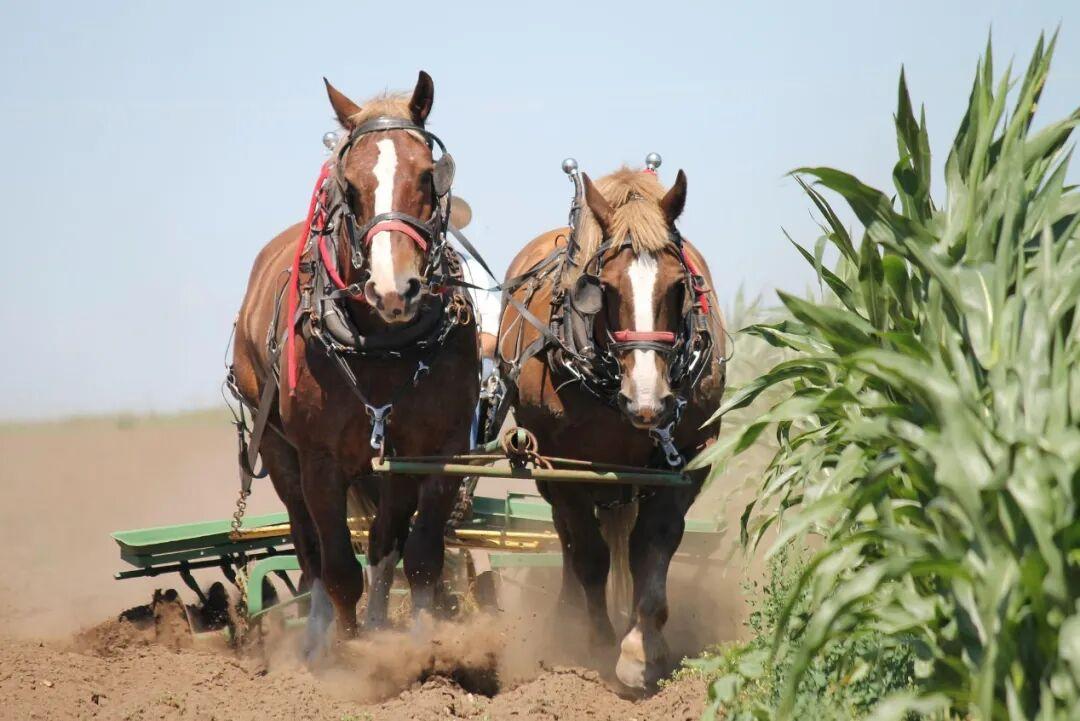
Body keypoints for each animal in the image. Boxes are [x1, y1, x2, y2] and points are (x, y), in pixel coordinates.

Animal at [230, 71, 480, 658]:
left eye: (428, 175)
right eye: (349, 185)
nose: (394, 289)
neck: (382, 344)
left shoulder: (437, 450)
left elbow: (421, 557)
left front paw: (420, 646)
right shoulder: (320, 460)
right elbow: (340, 568)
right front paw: (348, 657)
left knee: (385, 542)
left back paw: (382, 623)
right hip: (276, 447)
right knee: (309, 549)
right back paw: (318, 635)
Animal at [496, 165, 726, 690]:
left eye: (678, 286)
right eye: (605, 288)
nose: (648, 402)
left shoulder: (691, 455)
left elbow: (653, 543)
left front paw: (643, 648)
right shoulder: (565, 463)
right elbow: (590, 555)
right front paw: (597, 643)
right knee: (568, 538)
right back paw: (568, 616)